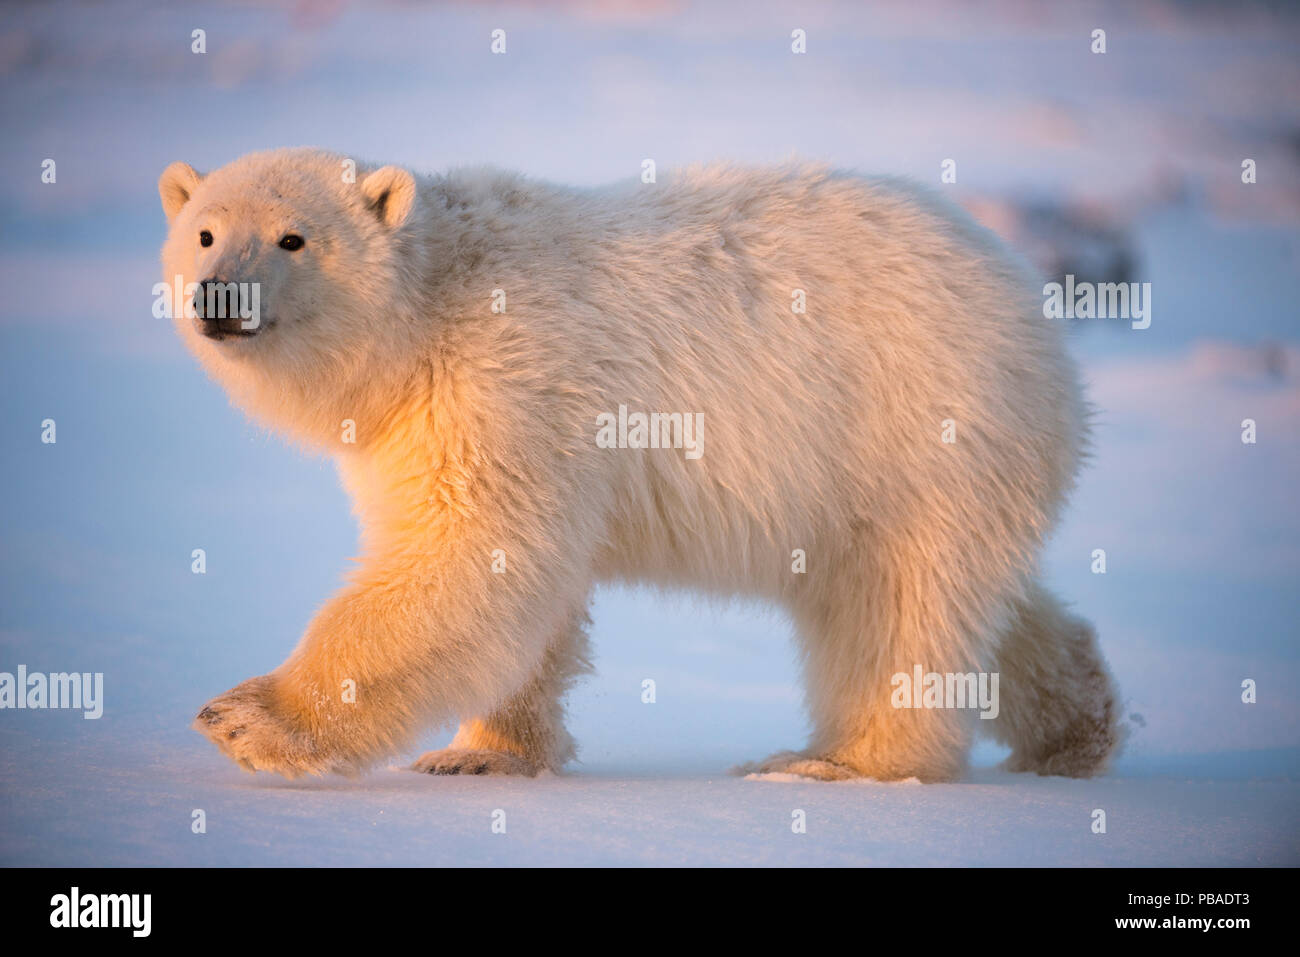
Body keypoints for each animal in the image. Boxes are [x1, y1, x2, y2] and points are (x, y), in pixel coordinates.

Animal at [157, 147, 1123, 780]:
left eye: (293, 238)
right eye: (204, 232)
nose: (219, 296)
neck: (427, 308)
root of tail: (1034, 306)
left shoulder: (500, 382)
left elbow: (468, 557)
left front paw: (243, 717)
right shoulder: (416, 426)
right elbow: (513, 589)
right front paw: (483, 755)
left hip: (911, 426)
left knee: (897, 602)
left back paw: (835, 762)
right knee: (979, 599)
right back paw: (1078, 726)